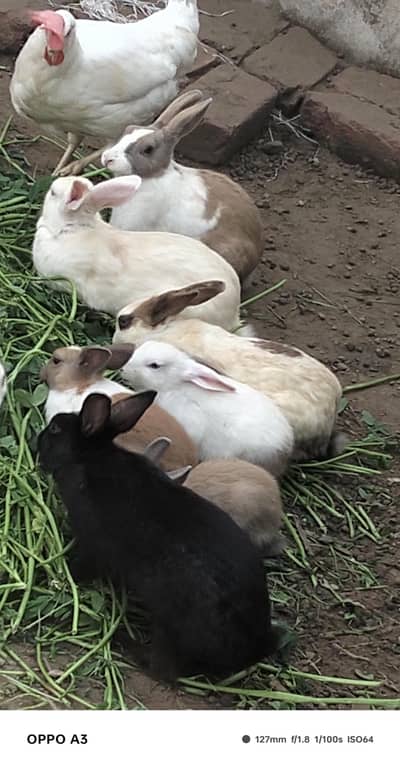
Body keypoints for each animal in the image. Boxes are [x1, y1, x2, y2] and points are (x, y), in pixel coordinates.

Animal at [37, 392, 278, 681]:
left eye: (54, 429)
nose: (37, 440)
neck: (89, 459)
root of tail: (255, 648)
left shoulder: (92, 545)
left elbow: (81, 567)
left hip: (170, 625)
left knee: (162, 670)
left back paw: (124, 642)